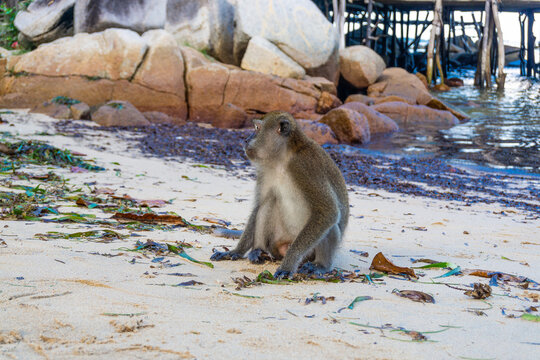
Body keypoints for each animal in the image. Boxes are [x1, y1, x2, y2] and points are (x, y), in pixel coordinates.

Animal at [209, 111, 348, 280]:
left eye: (257, 128)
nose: (246, 139)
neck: (283, 159)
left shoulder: (305, 166)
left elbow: (327, 211)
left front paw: (288, 265)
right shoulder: (266, 170)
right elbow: (259, 205)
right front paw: (236, 251)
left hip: (308, 253)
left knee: (330, 224)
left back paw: (321, 266)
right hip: (277, 242)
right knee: (268, 203)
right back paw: (258, 250)